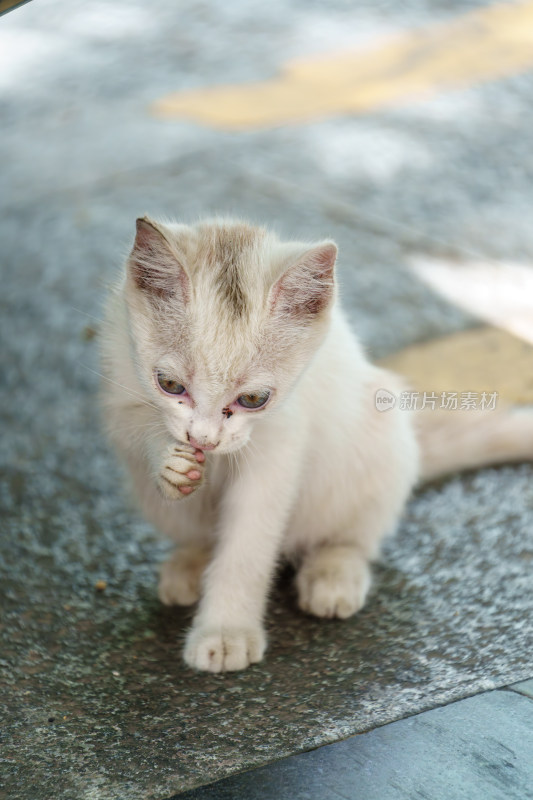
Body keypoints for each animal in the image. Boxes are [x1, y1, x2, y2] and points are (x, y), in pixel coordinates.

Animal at [100, 216, 532, 672]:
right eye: (170, 385)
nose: (204, 439)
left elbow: (247, 544)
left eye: (254, 399)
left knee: (352, 535)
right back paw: (190, 562)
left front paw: (226, 632)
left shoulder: (282, 439)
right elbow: (134, 424)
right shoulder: (118, 371)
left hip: (379, 438)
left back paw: (333, 573)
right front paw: (170, 462)